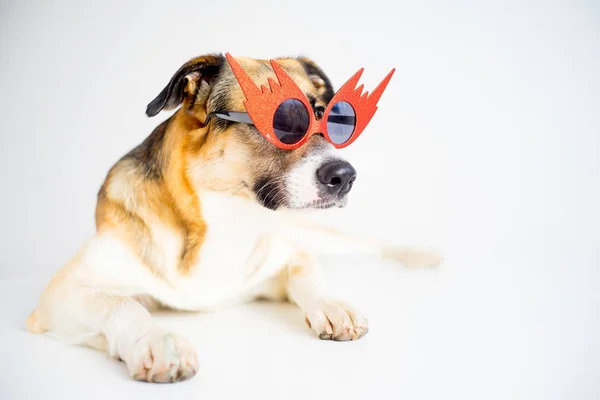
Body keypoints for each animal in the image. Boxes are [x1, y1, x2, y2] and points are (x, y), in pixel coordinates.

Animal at [25, 51, 442, 382]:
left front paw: (332, 304)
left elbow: (309, 277)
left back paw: (422, 255)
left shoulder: (290, 255)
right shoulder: (63, 289)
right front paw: (158, 340)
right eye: (283, 122)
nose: (346, 177)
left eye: (328, 117)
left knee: (367, 246)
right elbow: (124, 304)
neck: (228, 214)